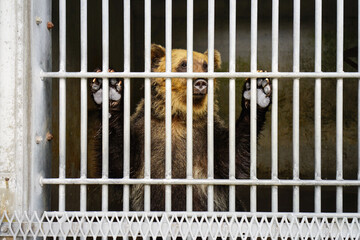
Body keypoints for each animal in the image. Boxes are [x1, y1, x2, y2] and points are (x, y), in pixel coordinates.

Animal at [88, 44, 272, 211]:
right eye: (184, 64)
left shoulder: (207, 135)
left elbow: (232, 159)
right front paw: (109, 91)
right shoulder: (144, 131)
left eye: (206, 65)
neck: (178, 115)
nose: (200, 82)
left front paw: (257, 91)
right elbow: (119, 163)